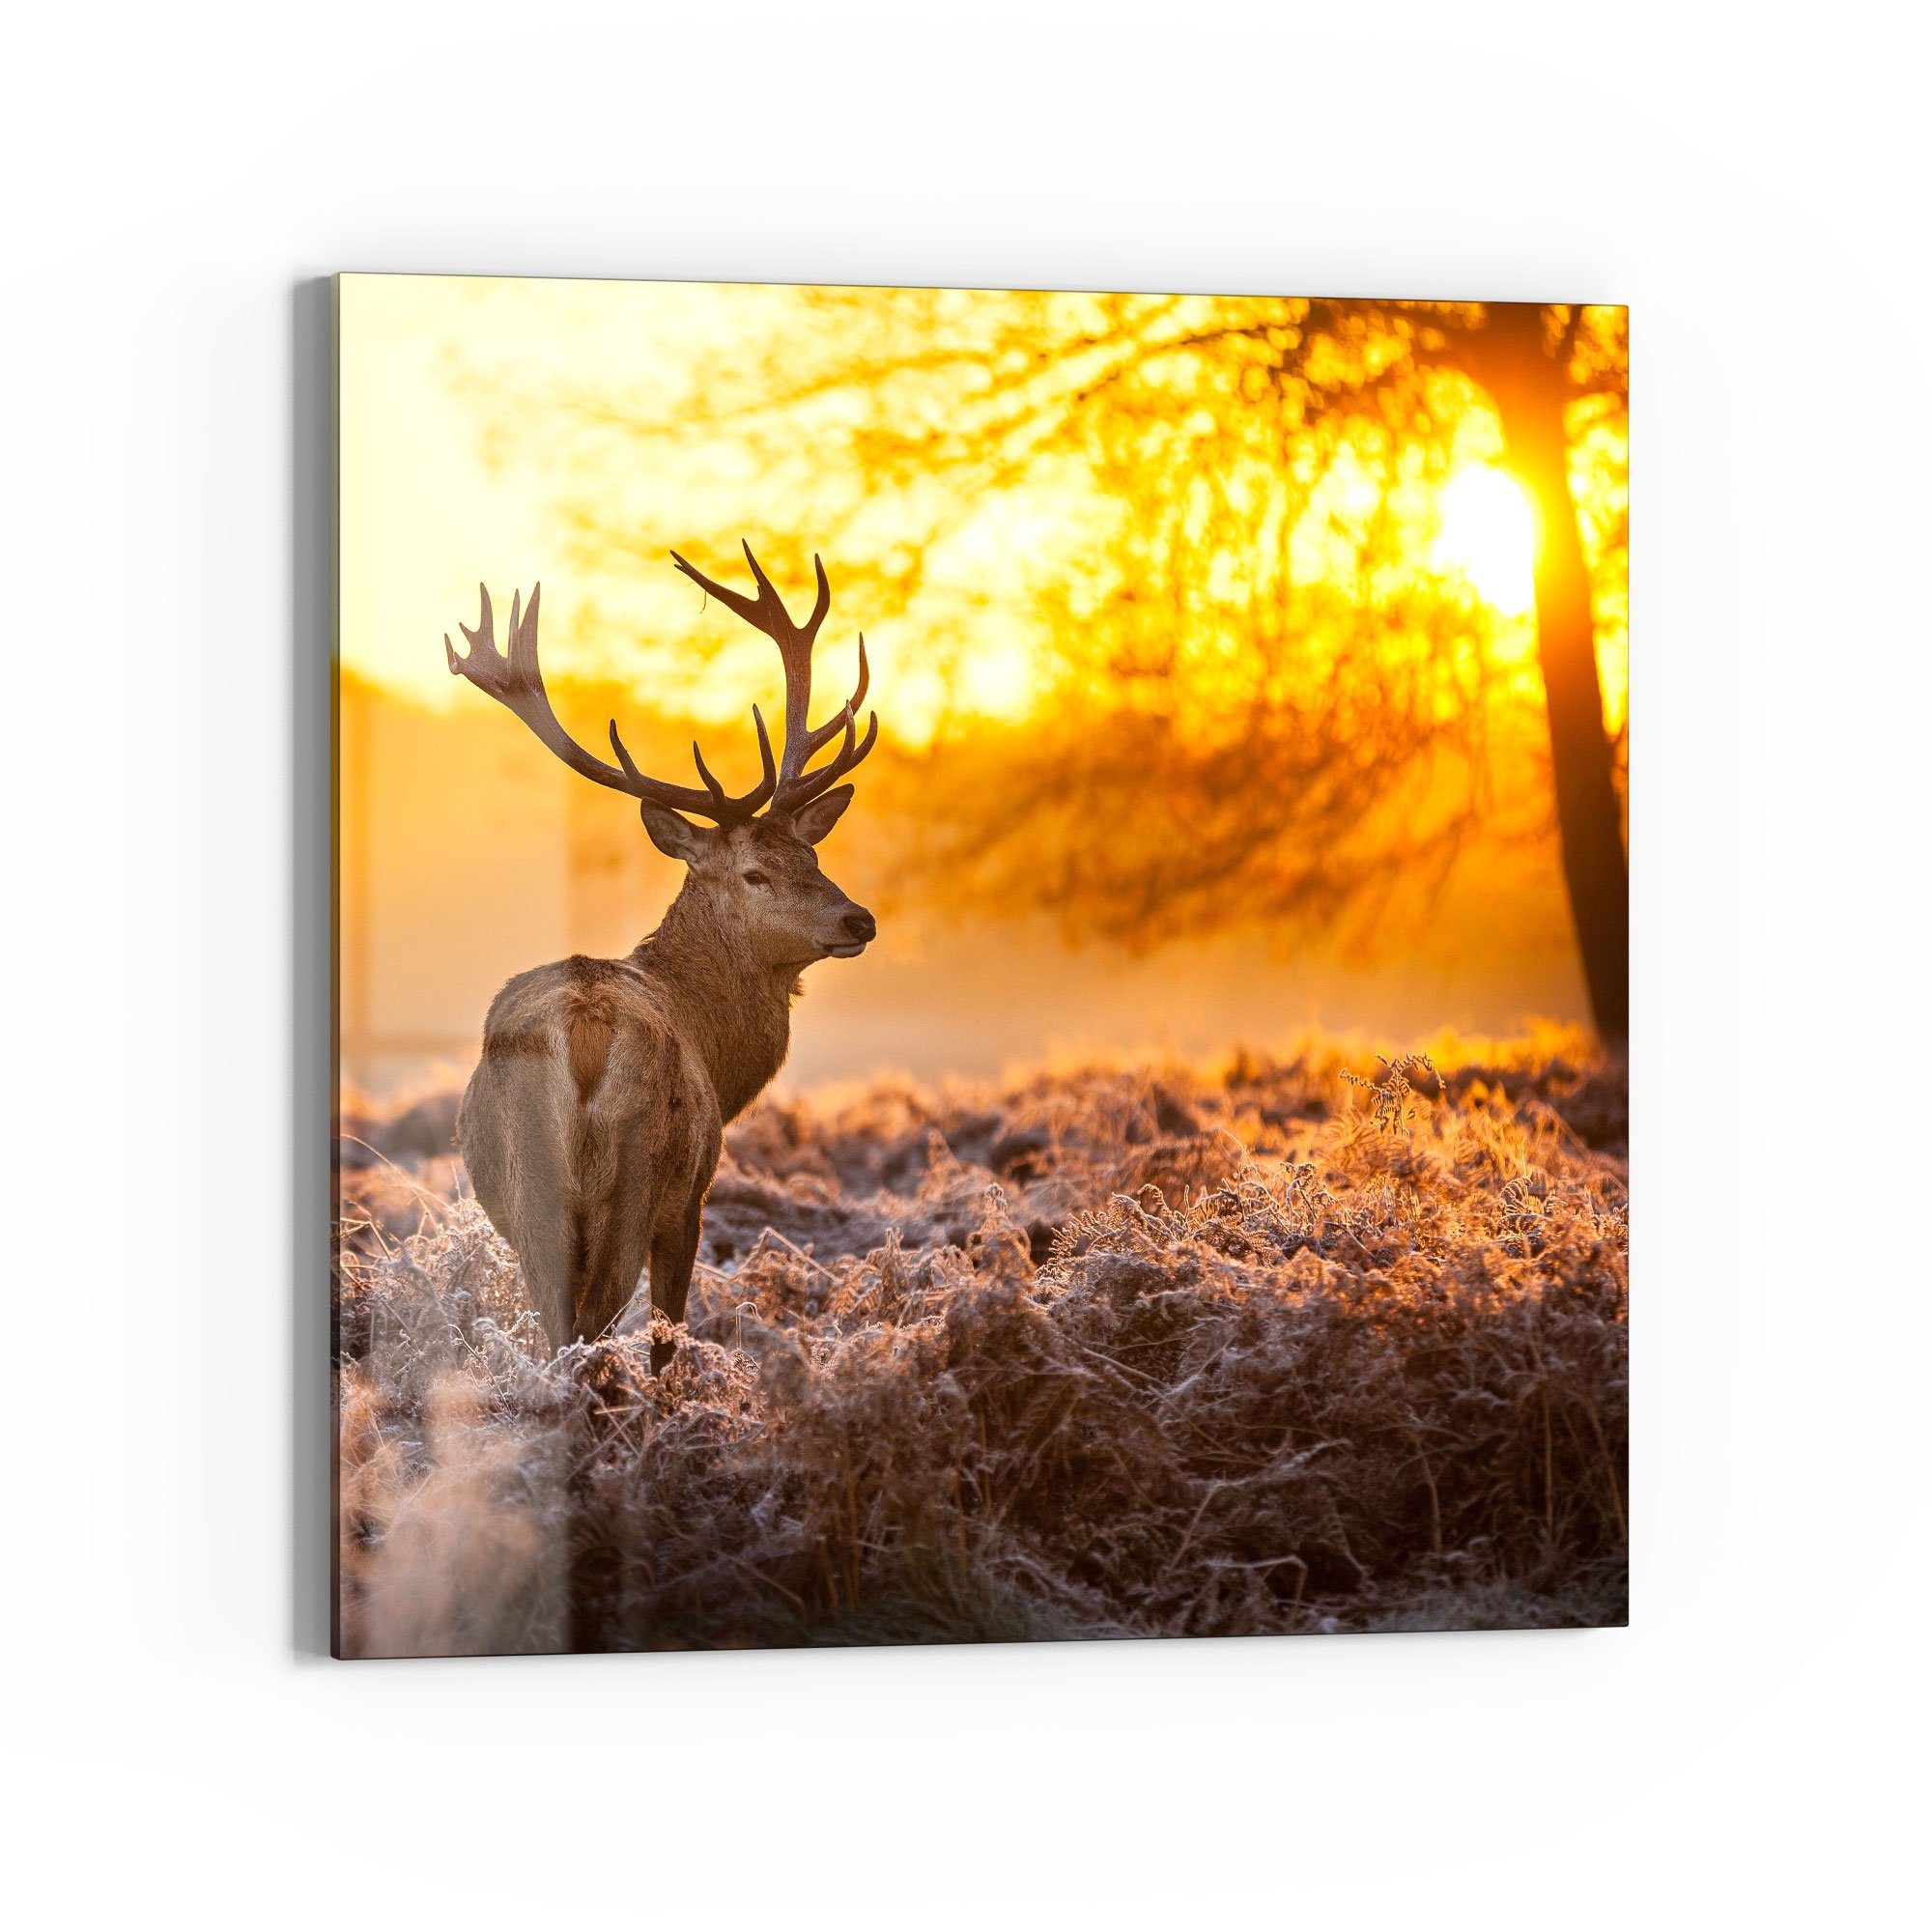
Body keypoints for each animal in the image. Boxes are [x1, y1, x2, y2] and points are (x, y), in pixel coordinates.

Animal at [444, 543, 880, 1370]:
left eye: (812, 854)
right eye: (755, 873)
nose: (859, 917)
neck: (719, 1053)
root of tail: (584, 1036)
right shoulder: (693, 1197)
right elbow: (669, 1335)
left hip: (528, 1197)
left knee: (558, 1333)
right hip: (635, 1180)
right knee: (594, 1332)